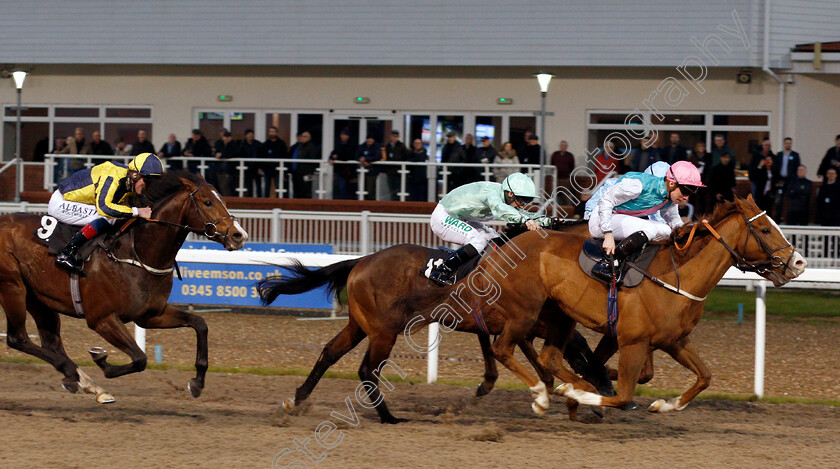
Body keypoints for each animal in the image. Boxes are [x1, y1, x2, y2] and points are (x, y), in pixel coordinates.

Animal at [398, 196, 808, 414]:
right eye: (765, 229)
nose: (799, 262)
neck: (679, 276)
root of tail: (502, 248)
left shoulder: (673, 340)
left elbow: (704, 377)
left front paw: (664, 405)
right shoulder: (633, 341)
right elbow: (623, 395)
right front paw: (584, 392)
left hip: (558, 316)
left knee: (546, 356)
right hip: (525, 311)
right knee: (504, 347)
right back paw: (544, 394)